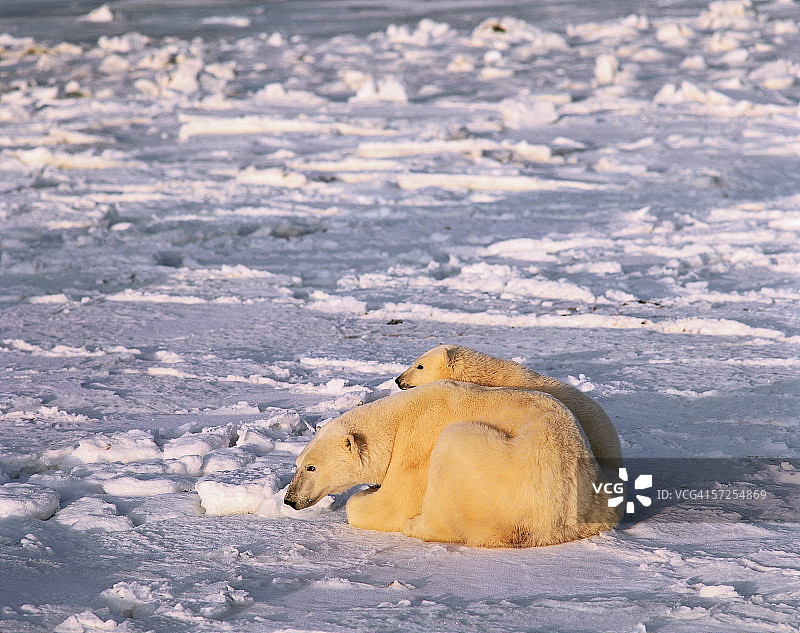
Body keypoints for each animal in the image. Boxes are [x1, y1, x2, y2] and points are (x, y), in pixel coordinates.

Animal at [284, 380, 619, 547]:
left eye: (312, 467)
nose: (290, 499)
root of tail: (553, 527)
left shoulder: (416, 440)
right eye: (297, 464)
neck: (397, 419)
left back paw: (416, 524)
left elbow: (396, 502)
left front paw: (367, 495)